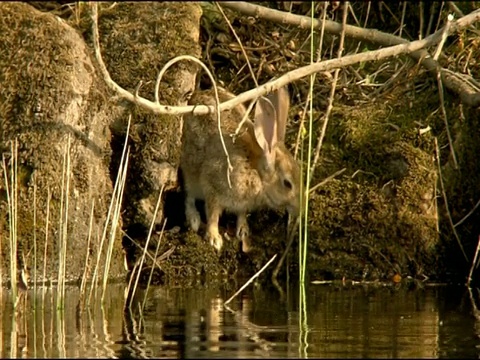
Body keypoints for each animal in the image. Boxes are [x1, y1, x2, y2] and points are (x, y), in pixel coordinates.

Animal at [180, 85, 300, 252]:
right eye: (287, 184)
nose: (300, 209)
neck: (255, 171)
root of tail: (197, 96)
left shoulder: (243, 203)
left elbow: (241, 213)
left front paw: (243, 230)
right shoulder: (214, 187)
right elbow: (213, 215)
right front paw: (214, 239)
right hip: (191, 172)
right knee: (189, 195)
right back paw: (194, 219)